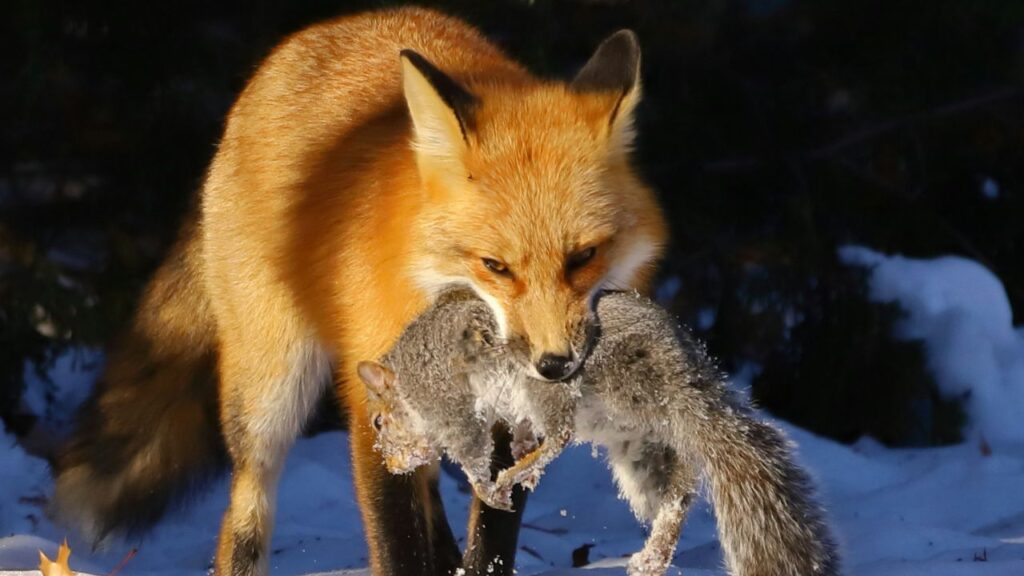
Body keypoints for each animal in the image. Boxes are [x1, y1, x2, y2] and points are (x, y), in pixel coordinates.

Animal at [50, 7, 668, 576]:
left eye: (583, 257)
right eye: (495, 266)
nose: (553, 365)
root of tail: (331, 27)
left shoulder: (511, 422)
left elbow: (491, 539)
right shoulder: (372, 400)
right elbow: (398, 546)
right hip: (272, 388)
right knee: (243, 515)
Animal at [357, 289, 841, 576]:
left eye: (379, 421)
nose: (392, 464)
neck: (409, 374)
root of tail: (683, 374)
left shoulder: (447, 402)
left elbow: (471, 450)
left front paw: (489, 484)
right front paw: (518, 447)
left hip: (563, 384)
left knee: (563, 434)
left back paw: (516, 473)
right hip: (639, 452)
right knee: (678, 490)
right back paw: (652, 554)